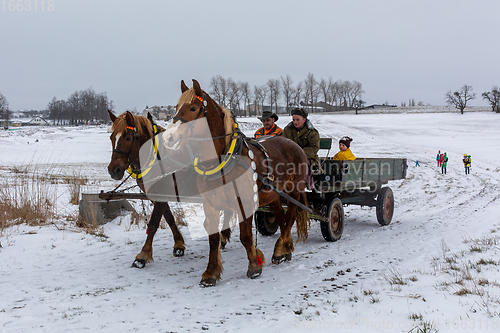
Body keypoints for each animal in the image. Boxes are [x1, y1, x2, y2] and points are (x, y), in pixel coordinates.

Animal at [166, 78, 310, 286]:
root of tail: (294, 144)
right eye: (176, 107)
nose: (169, 137)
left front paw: (254, 266)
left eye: (193, 108)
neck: (222, 161)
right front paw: (211, 272)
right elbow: (213, 238)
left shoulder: (245, 203)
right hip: (274, 195)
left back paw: (280, 250)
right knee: (282, 219)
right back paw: (285, 248)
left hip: (294, 192)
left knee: (289, 218)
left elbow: (246, 236)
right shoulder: (209, 204)